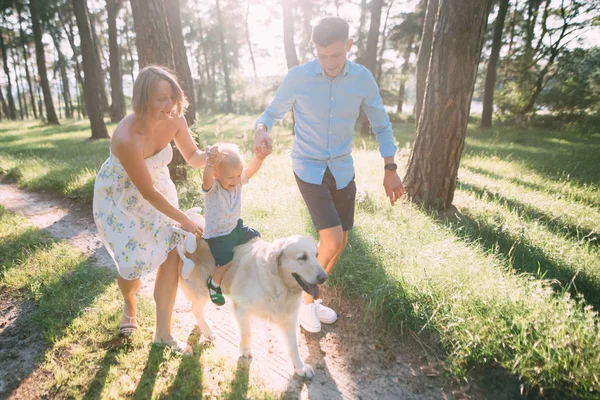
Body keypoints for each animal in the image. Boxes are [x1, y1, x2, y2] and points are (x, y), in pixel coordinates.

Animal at [180, 233, 326, 376]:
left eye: (317, 255)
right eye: (302, 257)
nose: (324, 277)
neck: (278, 284)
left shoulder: (289, 318)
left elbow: (294, 346)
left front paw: (301, 367)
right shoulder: (241, 308)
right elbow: (247, 333)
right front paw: (245, 351)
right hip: (202, 290)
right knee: (195, 308)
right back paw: (207, 331)